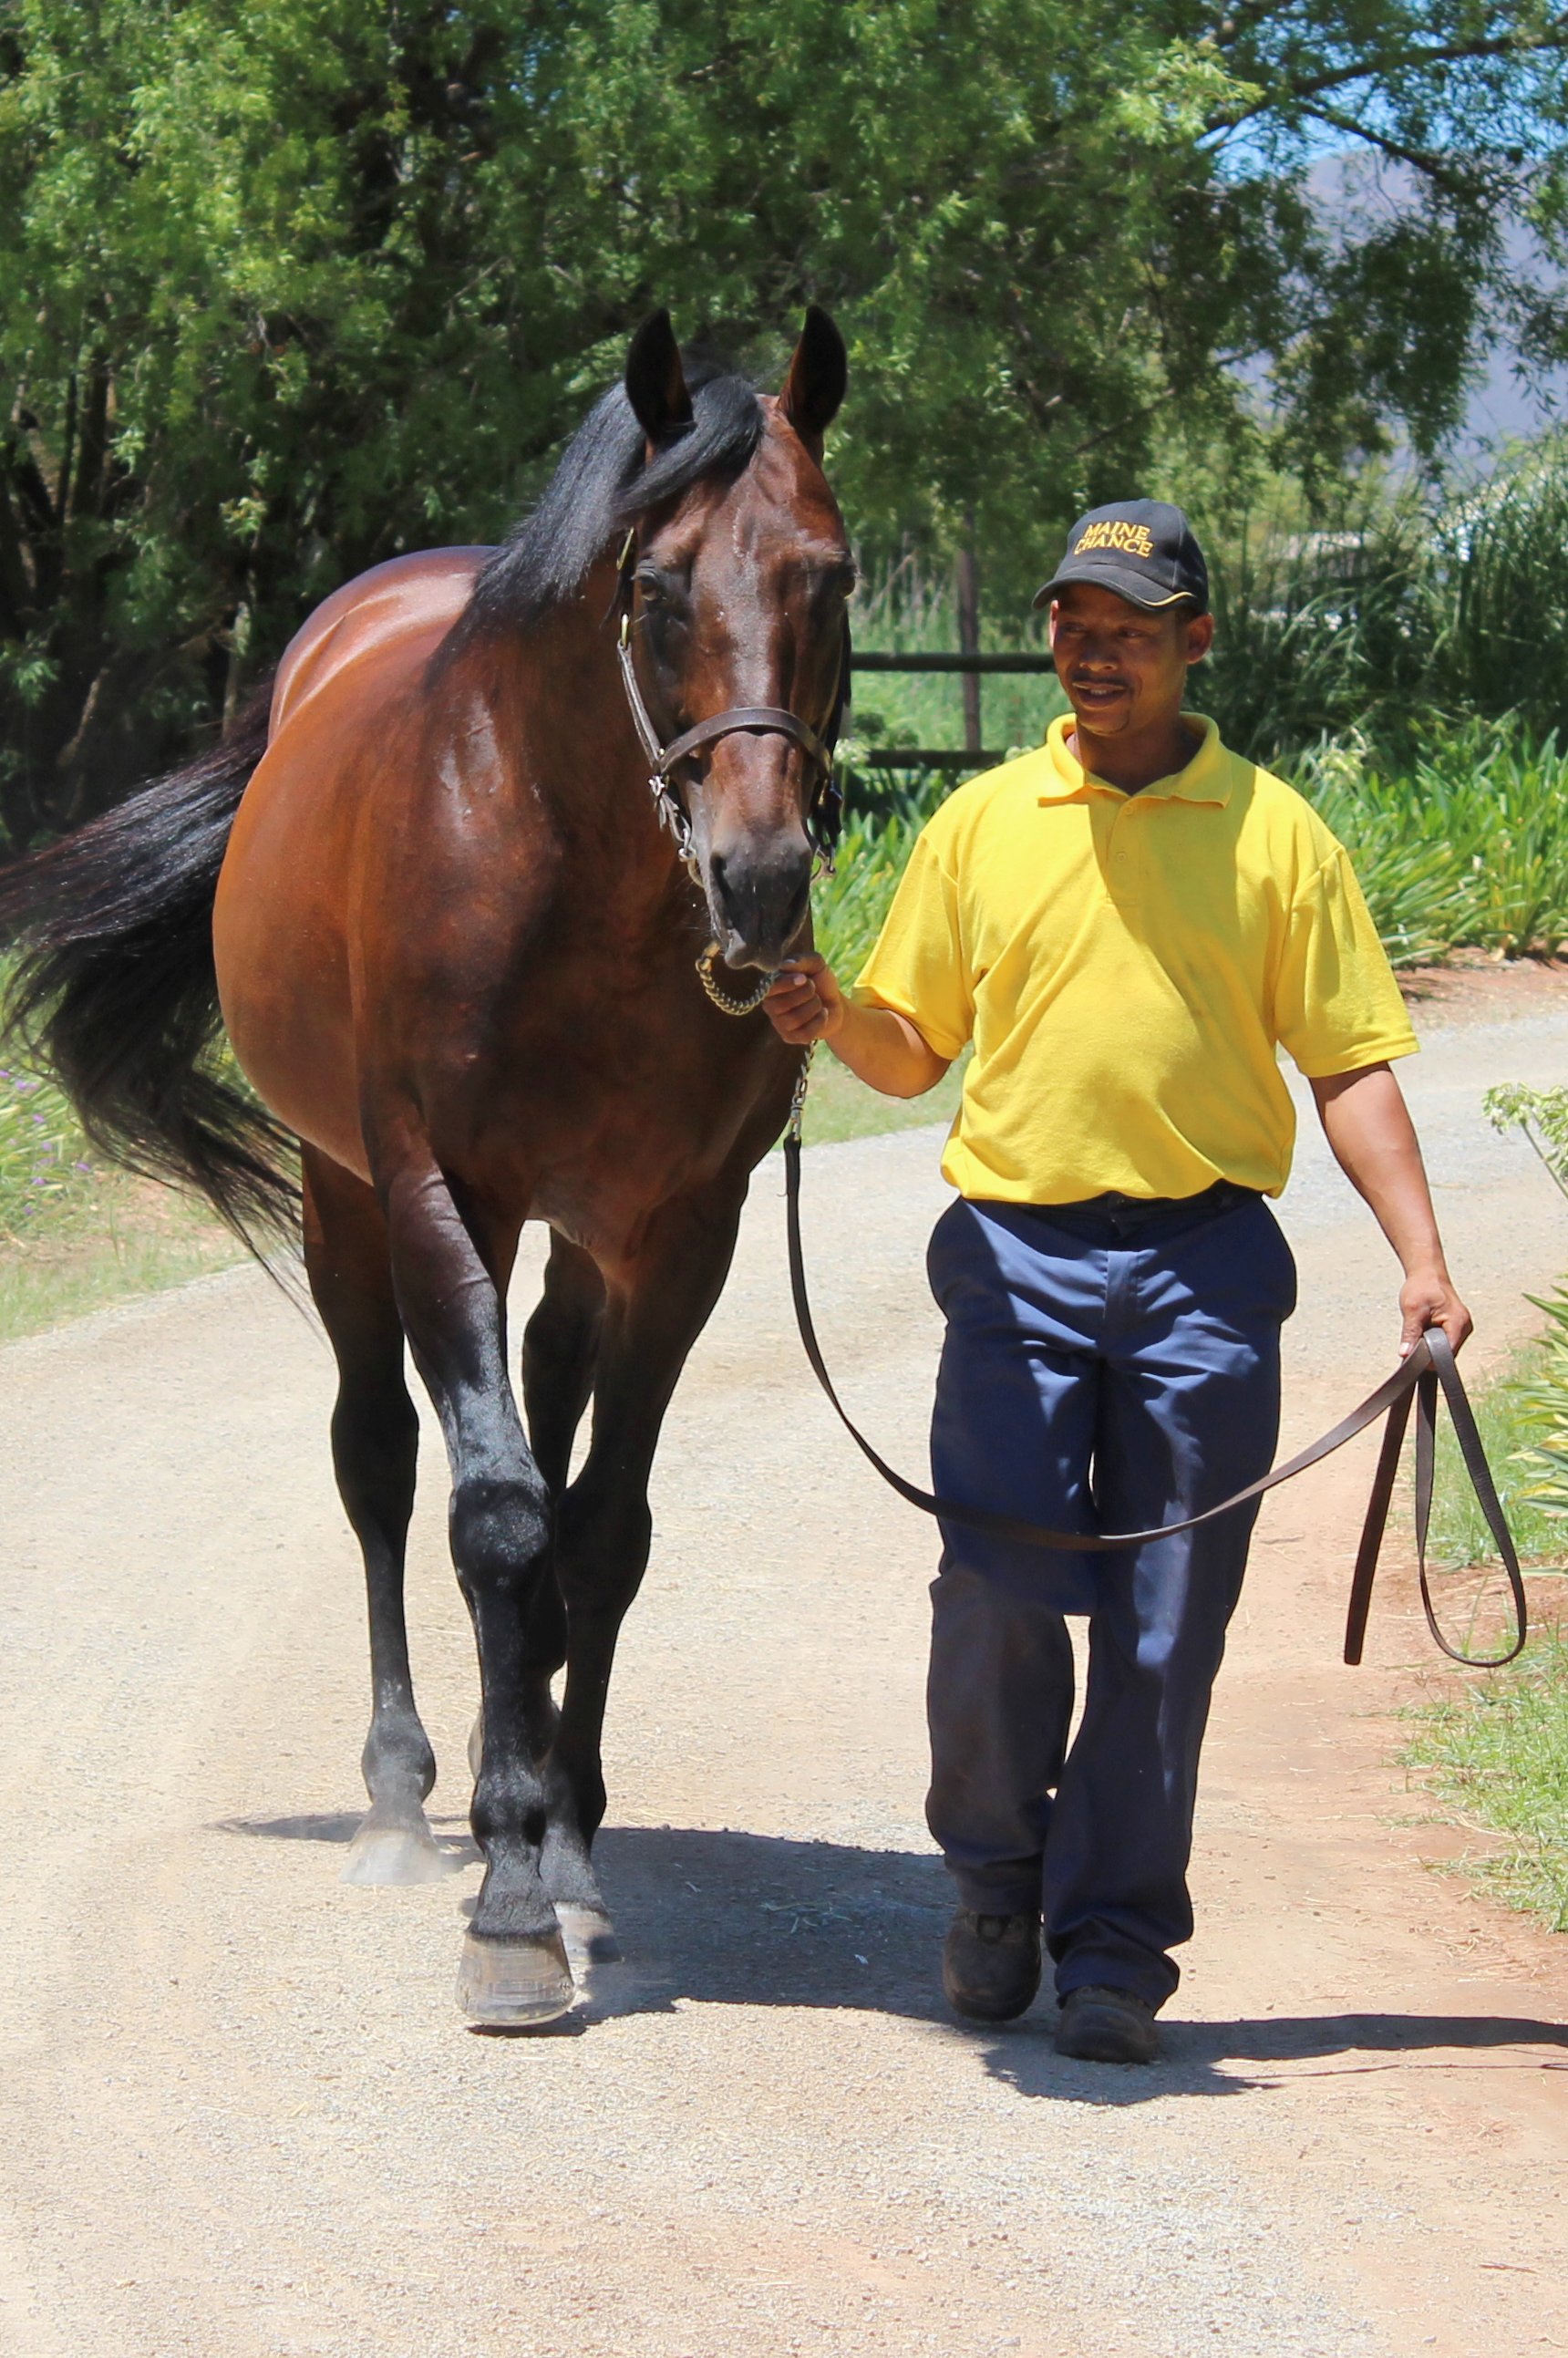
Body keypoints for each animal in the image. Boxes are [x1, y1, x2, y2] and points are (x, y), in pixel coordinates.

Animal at [0, 304, 849, 2018]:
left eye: (835, 577)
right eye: (656, 590)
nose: (761, 882)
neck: (572, 871)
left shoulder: (685, 1228)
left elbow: (603, 1525)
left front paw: (567, 1839)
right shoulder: (443, 1197)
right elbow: (495, 1514)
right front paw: (510, 1900)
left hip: (583, 1236)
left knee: (550, 1414)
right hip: (345, 1204)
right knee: (382, 1460)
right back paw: (403, 1796)